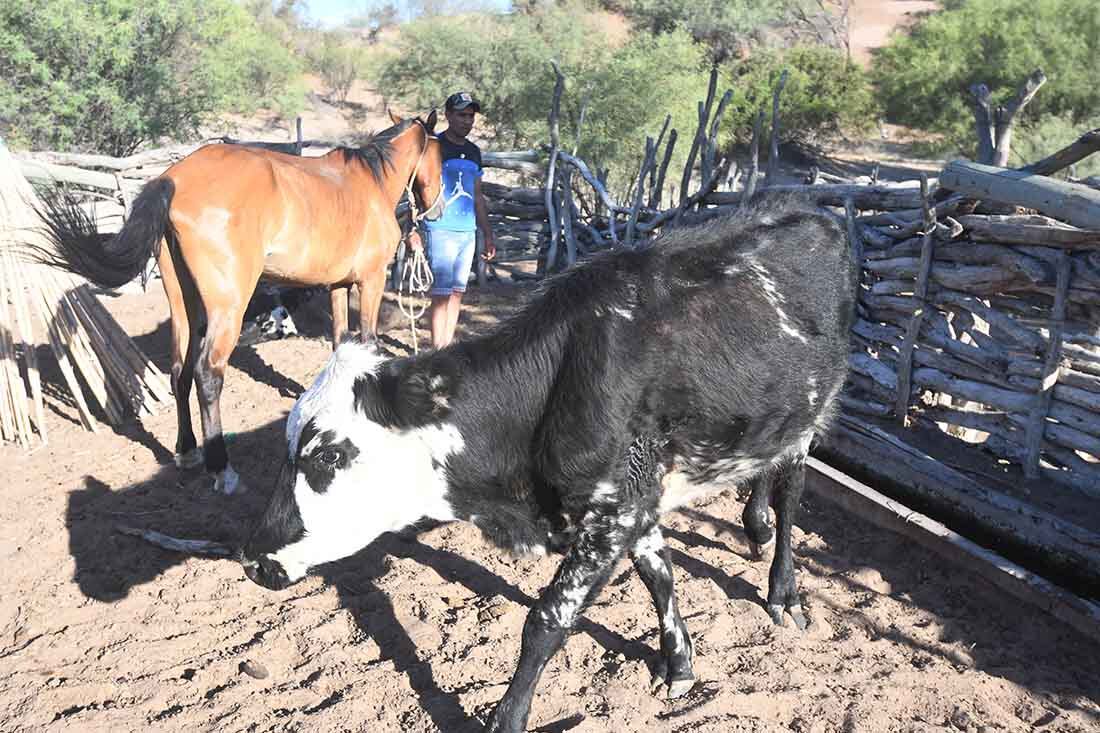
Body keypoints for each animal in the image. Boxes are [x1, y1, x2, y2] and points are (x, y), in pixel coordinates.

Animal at [36, 111, 444, 493]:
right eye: (441, 154)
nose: (437, 210)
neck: (370, 183)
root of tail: (174, 179)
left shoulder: (338, 286)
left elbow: (341, 344)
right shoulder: (370, 282)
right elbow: (369, 343)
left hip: (183, 304)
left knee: (179, 371)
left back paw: (187, 451)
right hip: (227, 309)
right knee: (206, 374)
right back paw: (223, 469)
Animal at [243, 195, 858, 730]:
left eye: (328, 453)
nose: (251, 561)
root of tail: (808, 207)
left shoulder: (611, 514)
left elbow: (547, 619)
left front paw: (507, 718)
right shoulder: (633, 497)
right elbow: (658, 572)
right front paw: (679, 661)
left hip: (812, 413)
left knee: (791, 489)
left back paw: (783, 589)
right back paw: (754, 525)